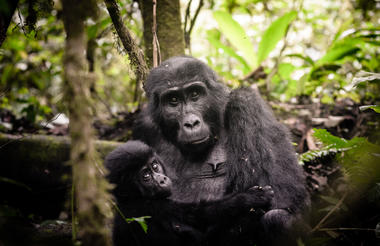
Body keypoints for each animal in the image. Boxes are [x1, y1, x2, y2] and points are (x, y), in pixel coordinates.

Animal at [105, 140, 274, 246]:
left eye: (154, 166)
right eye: (145, 176)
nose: (162, 179)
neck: (131, 198)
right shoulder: (150, 207)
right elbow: (200, 215)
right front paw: (250, 198)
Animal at [134, 56, 308, 246]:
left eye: (195, 95)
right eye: (173, 100)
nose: (191, 123)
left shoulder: (246, 103)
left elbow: (284, 194)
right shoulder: (144, 127)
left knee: (276, 218)